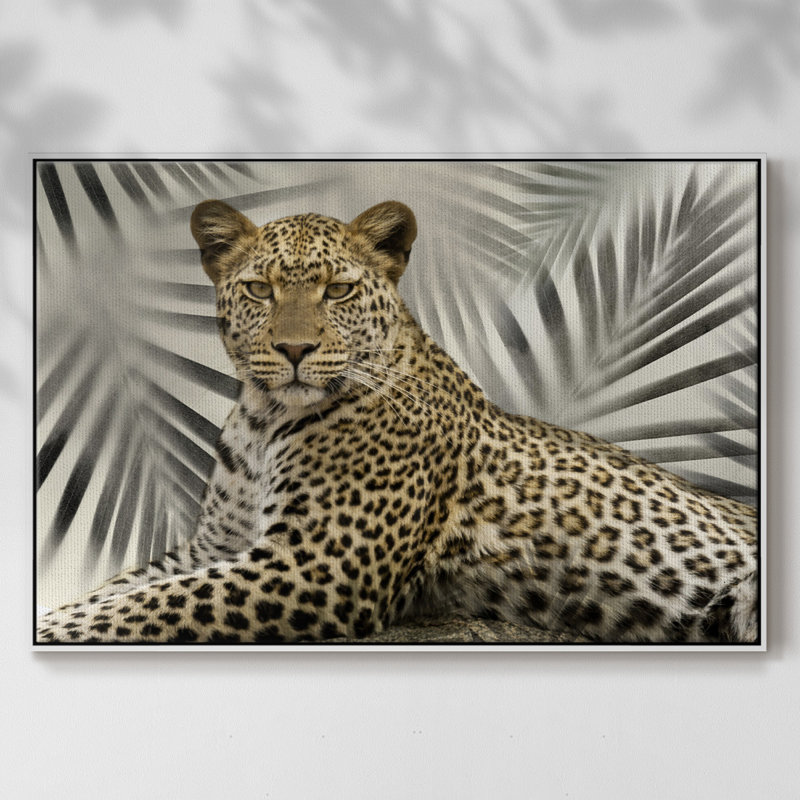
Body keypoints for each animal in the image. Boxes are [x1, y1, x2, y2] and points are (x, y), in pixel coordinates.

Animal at [36, 199, 760, 645]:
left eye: (338, 290)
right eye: (260, 289)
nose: (293, 350)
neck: (264, 419)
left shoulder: (316, 565)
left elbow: (147, 606)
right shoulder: (214, 546)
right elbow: (118, 592)